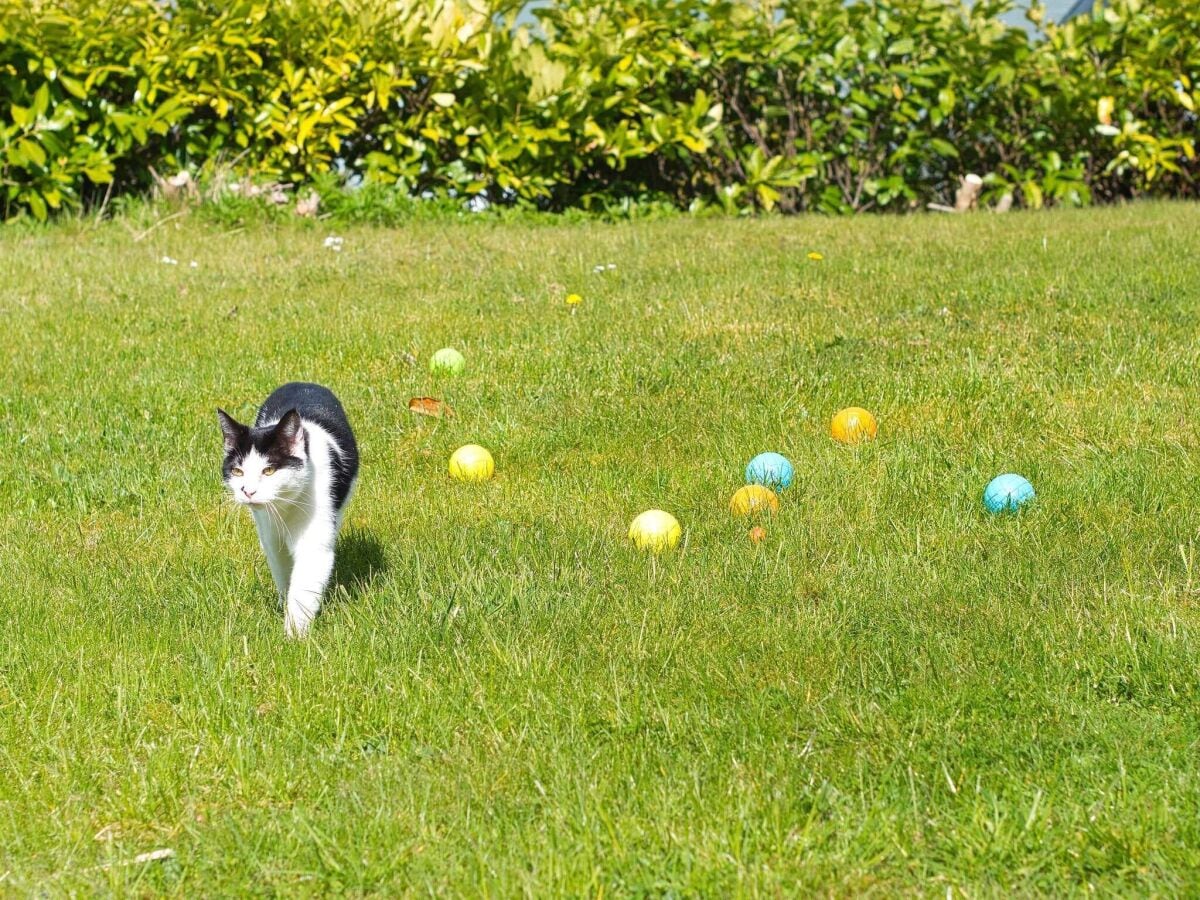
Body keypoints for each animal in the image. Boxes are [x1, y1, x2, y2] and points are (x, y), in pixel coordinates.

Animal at [217, 384, 357, 638]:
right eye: (238, 471)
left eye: (269, 470)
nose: (248, 491)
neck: (286, 507)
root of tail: (303, 383)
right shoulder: (270, 537)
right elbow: (283, 570)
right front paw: (285, 609)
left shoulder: (315, 540)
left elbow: (304, 585)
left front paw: (294, 635)